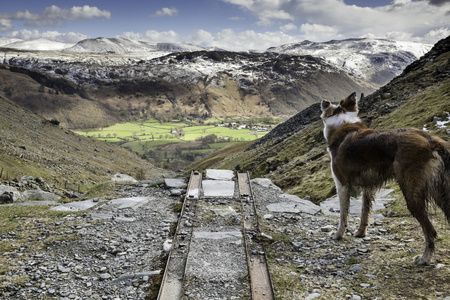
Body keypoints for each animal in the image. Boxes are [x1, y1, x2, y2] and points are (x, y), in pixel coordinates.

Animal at [320, 91, 450, 264]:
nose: (323, 101)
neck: (343, 125)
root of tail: (431, 140)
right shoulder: (368, 186)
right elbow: (364, 211)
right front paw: (360, 233)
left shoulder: (342, 184)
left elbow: (343, 215)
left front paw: (337, 235)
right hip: (440, 191)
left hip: (412, 192)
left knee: (430, 230)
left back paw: (424, 258)